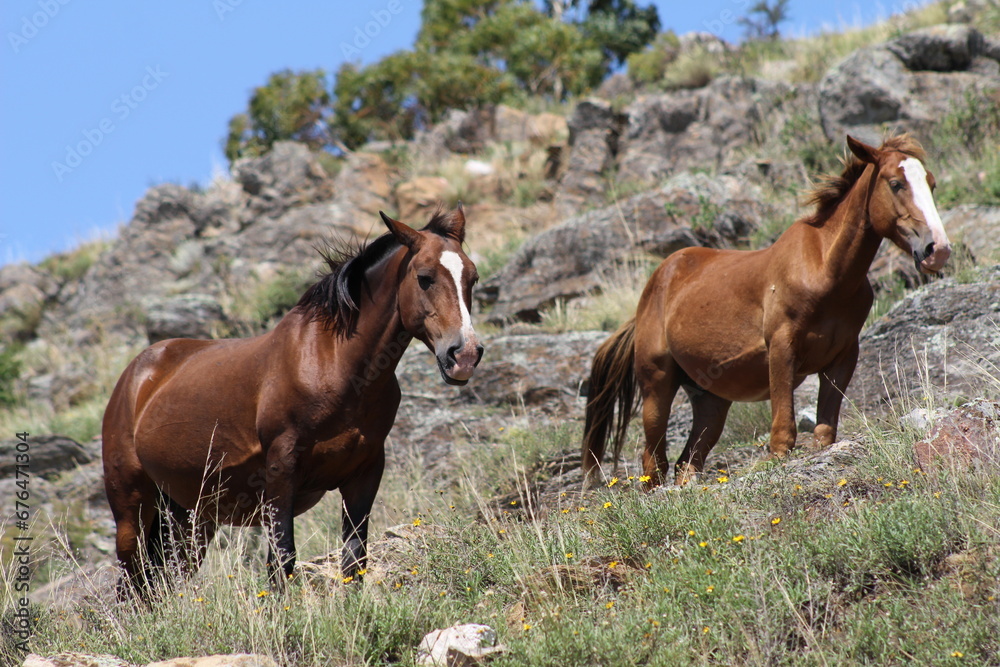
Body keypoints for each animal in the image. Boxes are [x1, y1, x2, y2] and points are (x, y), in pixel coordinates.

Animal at [102, 207, 483, 594]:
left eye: (473, 278)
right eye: (425, 278)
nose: (464, 355)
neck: (334, 364)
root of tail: (136, 375)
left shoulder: (365, 473)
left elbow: (354, 559)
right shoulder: (281, 472)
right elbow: (282, 560)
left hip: (189, 518)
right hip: (132, 507)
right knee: (132, 584)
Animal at [582, 135, 951, 487]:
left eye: (932, 183)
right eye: (895, 183)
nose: (937, 249)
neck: (824, 270)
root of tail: (654, 286)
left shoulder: (843, 357)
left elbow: (824, 432)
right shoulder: (781, 347)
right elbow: (783, 435)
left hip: (710, 400)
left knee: (687, 462)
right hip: (657, 385)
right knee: (653, 463)